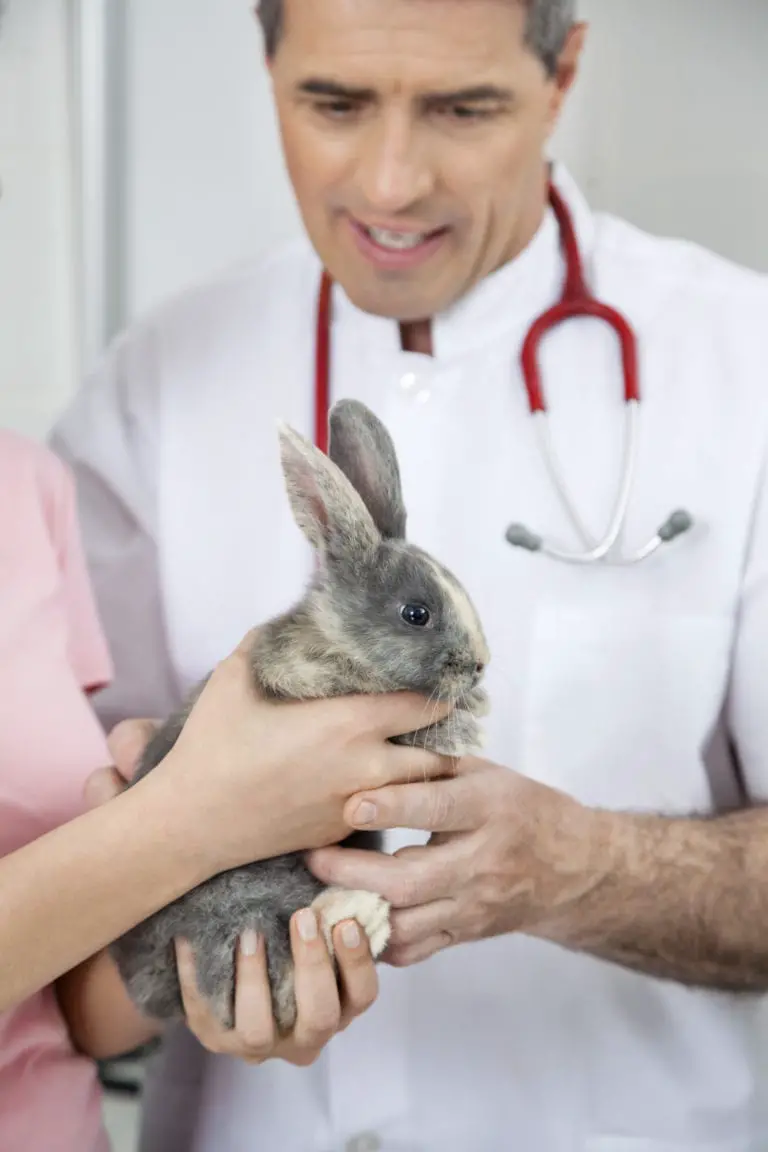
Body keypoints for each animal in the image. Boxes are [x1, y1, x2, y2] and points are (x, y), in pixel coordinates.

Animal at [109, 397, 490, 1035]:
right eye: (416, 614)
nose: (482, 666)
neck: (337, 639)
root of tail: (139, 986)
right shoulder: (306, 684)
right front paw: (463, 729)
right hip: (238, 899)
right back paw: (357, 911)